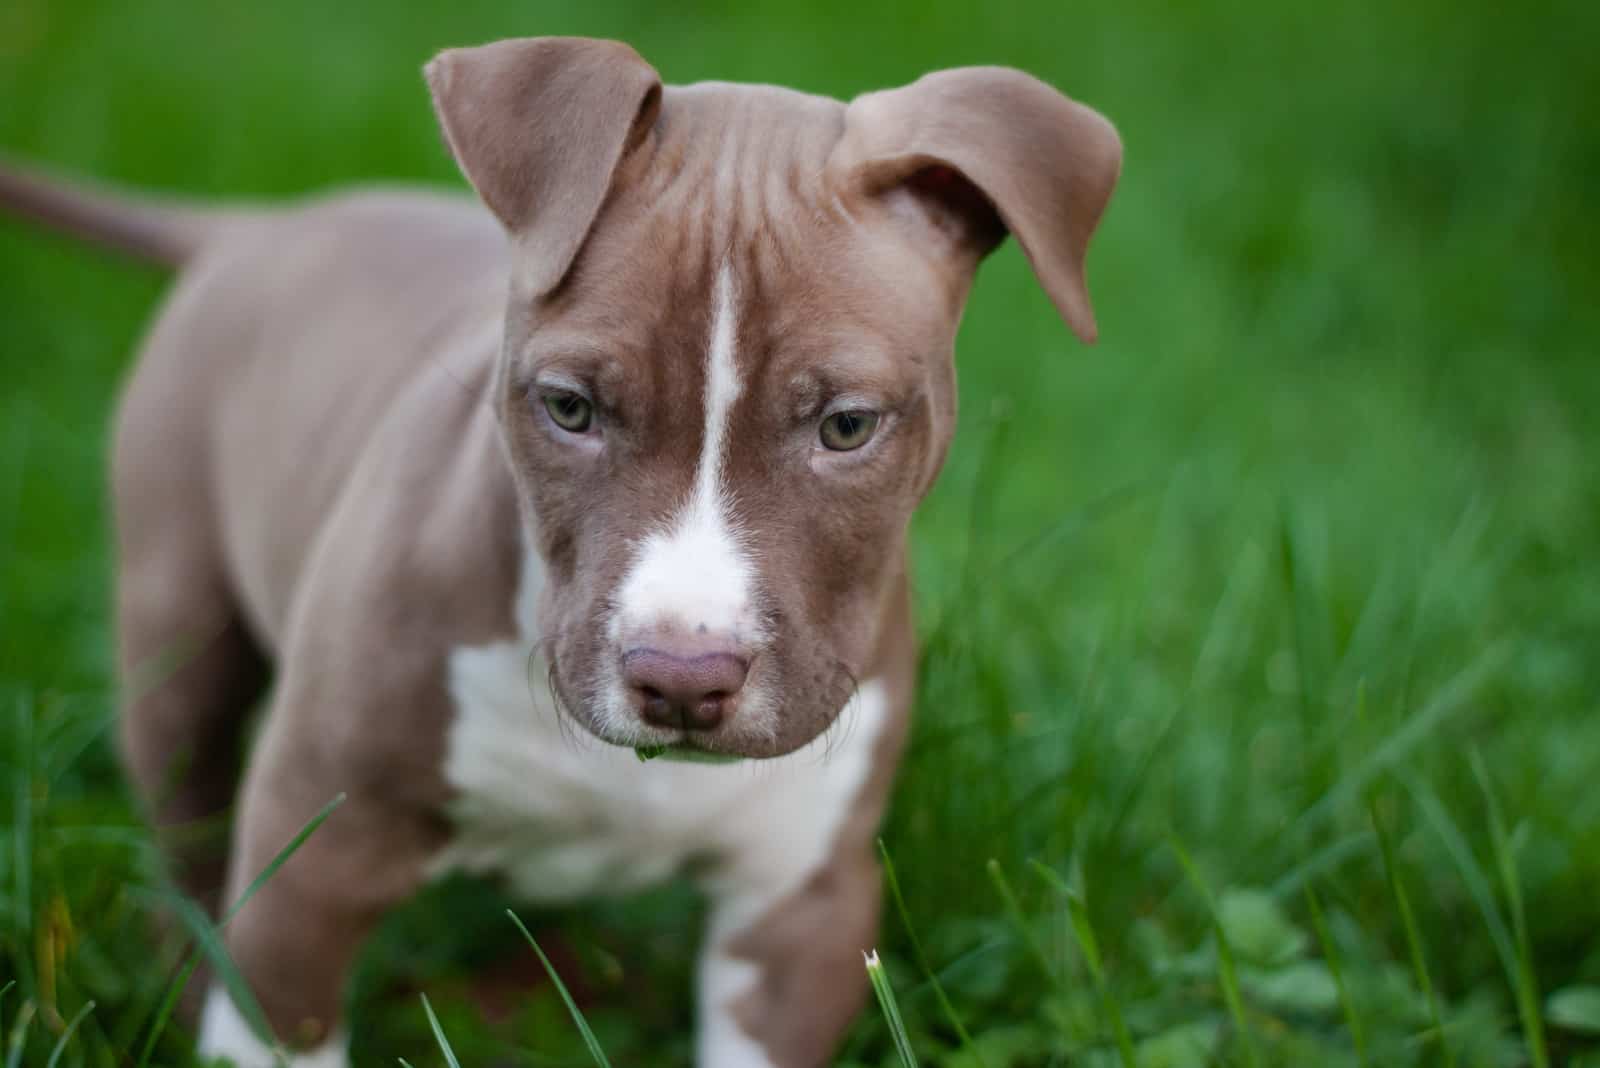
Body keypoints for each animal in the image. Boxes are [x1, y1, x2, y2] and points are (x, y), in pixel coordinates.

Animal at [0, 35, 1113, 1068]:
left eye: (847, 426)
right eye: (569, 408)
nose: (682, 678)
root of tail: (263, 226)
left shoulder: (800, 907)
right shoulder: (310, 859)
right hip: (175, 609)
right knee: (185, 814)